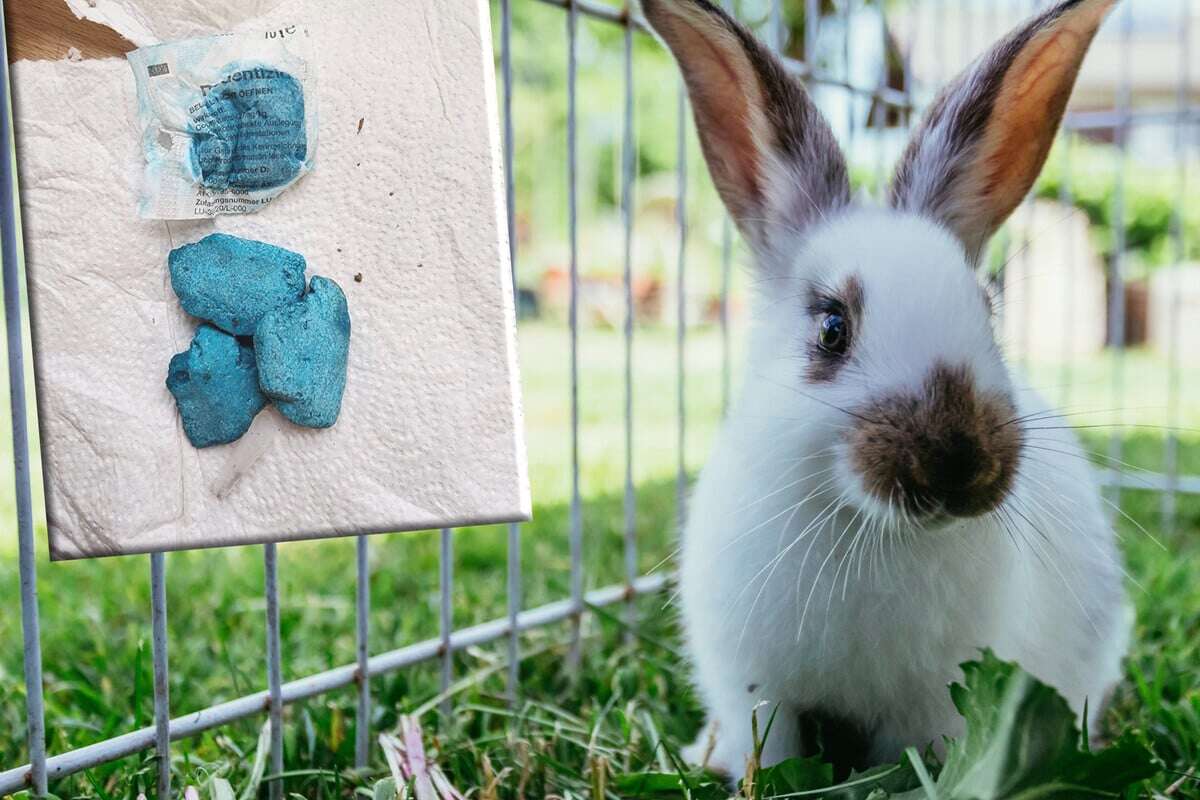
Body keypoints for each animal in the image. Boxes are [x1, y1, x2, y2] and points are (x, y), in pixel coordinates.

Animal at [643, 0, 1128, 777]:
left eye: (987, 311)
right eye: (832, 328)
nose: (958, 462)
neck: (868, 529)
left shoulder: (934, 702)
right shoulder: (752, 685)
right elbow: (768, 746)